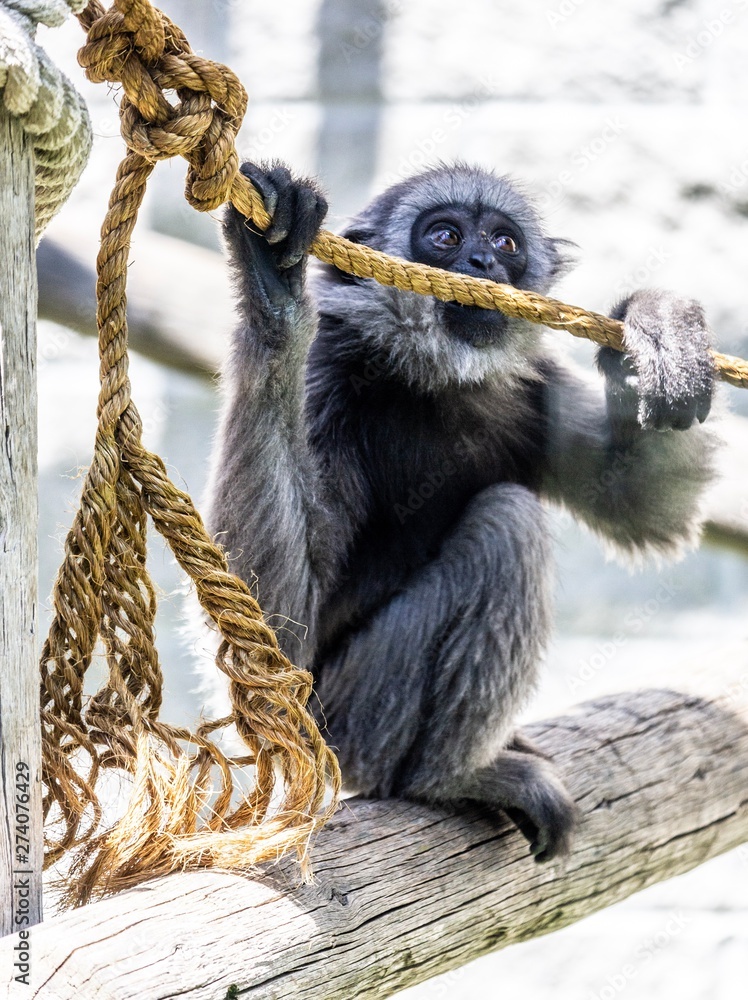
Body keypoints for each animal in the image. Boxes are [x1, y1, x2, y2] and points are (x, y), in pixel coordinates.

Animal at [204, 160, 718, 862]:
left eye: (505, 241)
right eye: (444, 235)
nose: (482, 261)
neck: (430, 375)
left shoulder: (537, 390)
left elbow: (645, 504)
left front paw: (658, 327)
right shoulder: (328, 374)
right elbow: (282, 647)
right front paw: (272, 294)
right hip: (353, 720)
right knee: (507, 523)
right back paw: (449, 778)